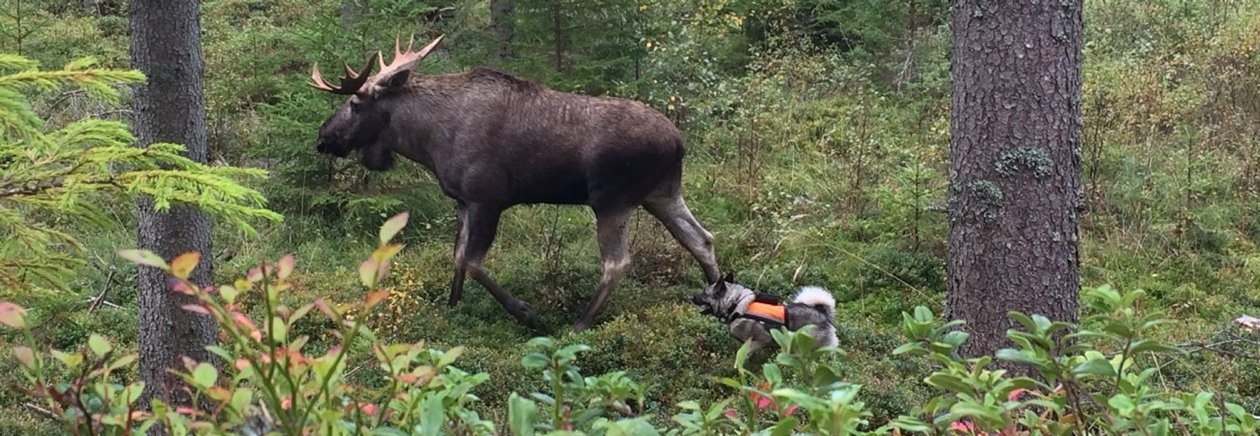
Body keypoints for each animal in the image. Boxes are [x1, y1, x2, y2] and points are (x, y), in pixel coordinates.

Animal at [307, 35, 720, 332]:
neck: (427, 142)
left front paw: (526, 313)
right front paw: (452, 310)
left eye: (355, 104)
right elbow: (457, 259)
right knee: (702, 238)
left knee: (617, 263)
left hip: (611, 199)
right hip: (661, 193)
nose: (324, 137)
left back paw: (580, 323)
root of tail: (679, 142)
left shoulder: (487, 199)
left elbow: (472, 262)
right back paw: (719, 297)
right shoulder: (462, 202)